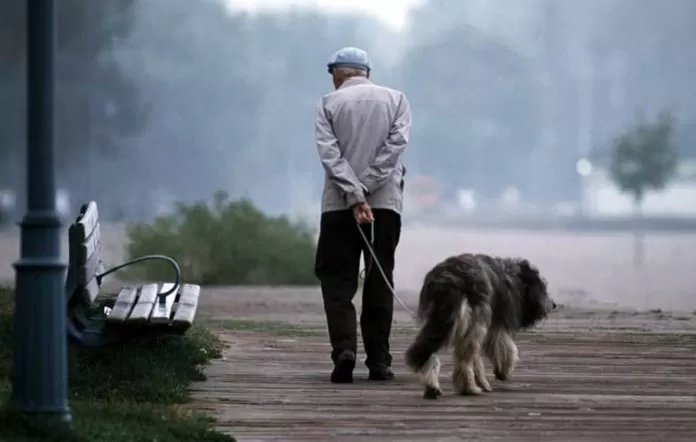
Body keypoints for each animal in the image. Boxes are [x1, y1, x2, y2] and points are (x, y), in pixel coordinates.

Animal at [402, 254, 556, 398]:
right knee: (464, 359)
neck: (512, 274)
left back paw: (432, 386)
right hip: (474, 318)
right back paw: (469, 387)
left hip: (440, 320)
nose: (554, 305)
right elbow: (505, 346)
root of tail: (449, 279)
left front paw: (483, 380)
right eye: (543, 288)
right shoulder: (495, 324)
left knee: (425, 349)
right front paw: (503, 370)